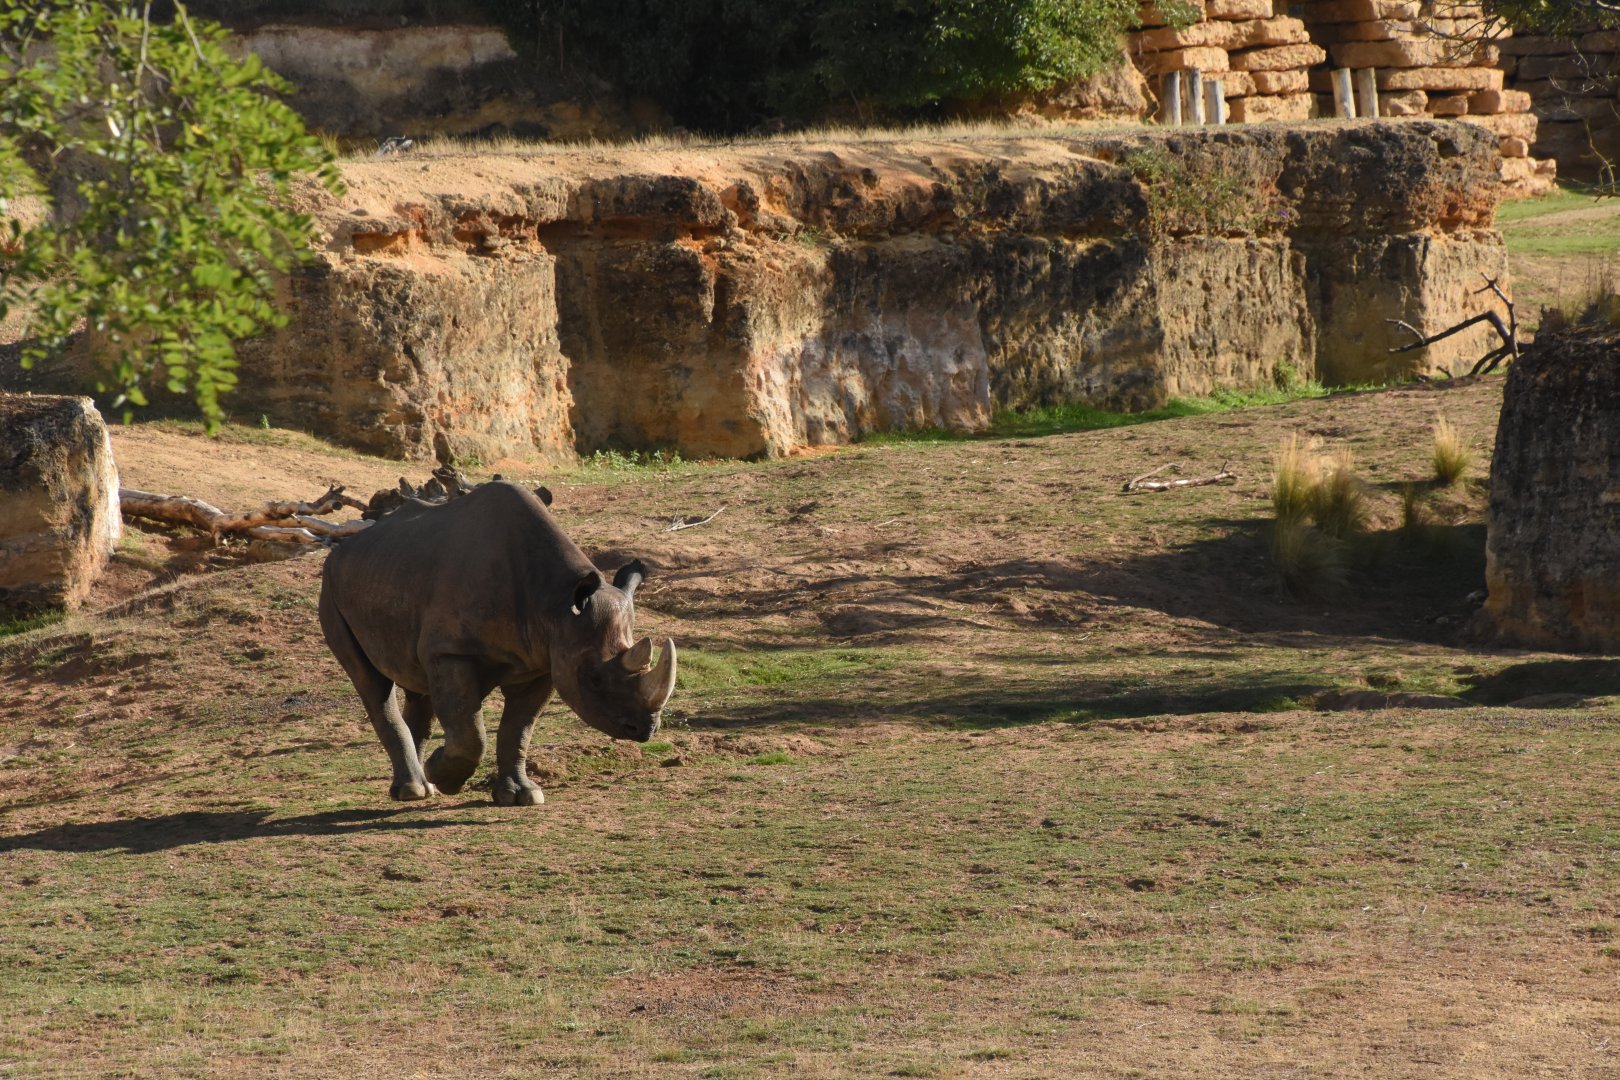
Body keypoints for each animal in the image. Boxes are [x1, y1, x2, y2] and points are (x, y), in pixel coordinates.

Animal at [318, 481, 676, 806]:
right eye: (595, 679)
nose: (646, 729)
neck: (556, 604)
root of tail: (343, 548)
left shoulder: (544, 660)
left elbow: (518, 729)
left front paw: (521, 796)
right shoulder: (452, 652)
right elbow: (470, 733)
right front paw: (445, 776)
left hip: (390, 573)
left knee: (416, 682)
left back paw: (421, 788)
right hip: (332, 585)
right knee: (372, 684)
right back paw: (414, 789)